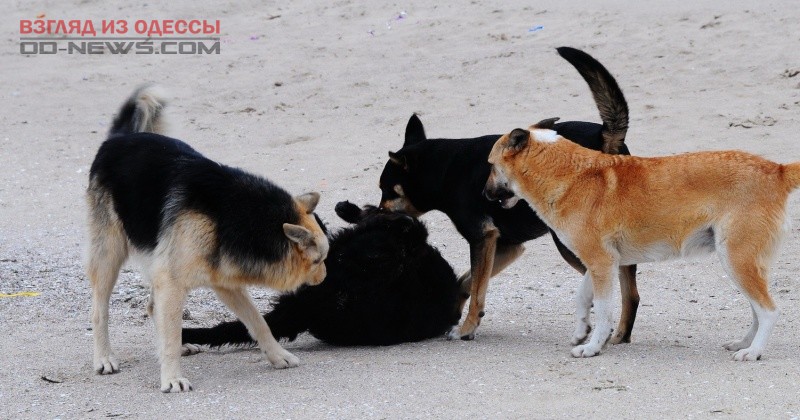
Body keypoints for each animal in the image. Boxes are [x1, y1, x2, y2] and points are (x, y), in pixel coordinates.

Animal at [86, 83, 326, 392]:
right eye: (319, 260)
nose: (324, 279)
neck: (237, 217)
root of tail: (118, 138)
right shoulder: (173, 282)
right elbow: (172, 334)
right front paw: (172, 377)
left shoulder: (225, 283)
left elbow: (257, 320)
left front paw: (277, 355)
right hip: (109, 256)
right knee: (100, 311)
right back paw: (104, 358)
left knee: (153, 307)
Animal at [378, 46, 640, 342]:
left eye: (386, 190)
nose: (378, 212)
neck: (443, 168)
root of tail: (604, 134)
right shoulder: (504, 245)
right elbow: (468, 282)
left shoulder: (482, 239)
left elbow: (477, 290)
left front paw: (466, 327)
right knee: (630, 290)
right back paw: (620, 334)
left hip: (568, 241)